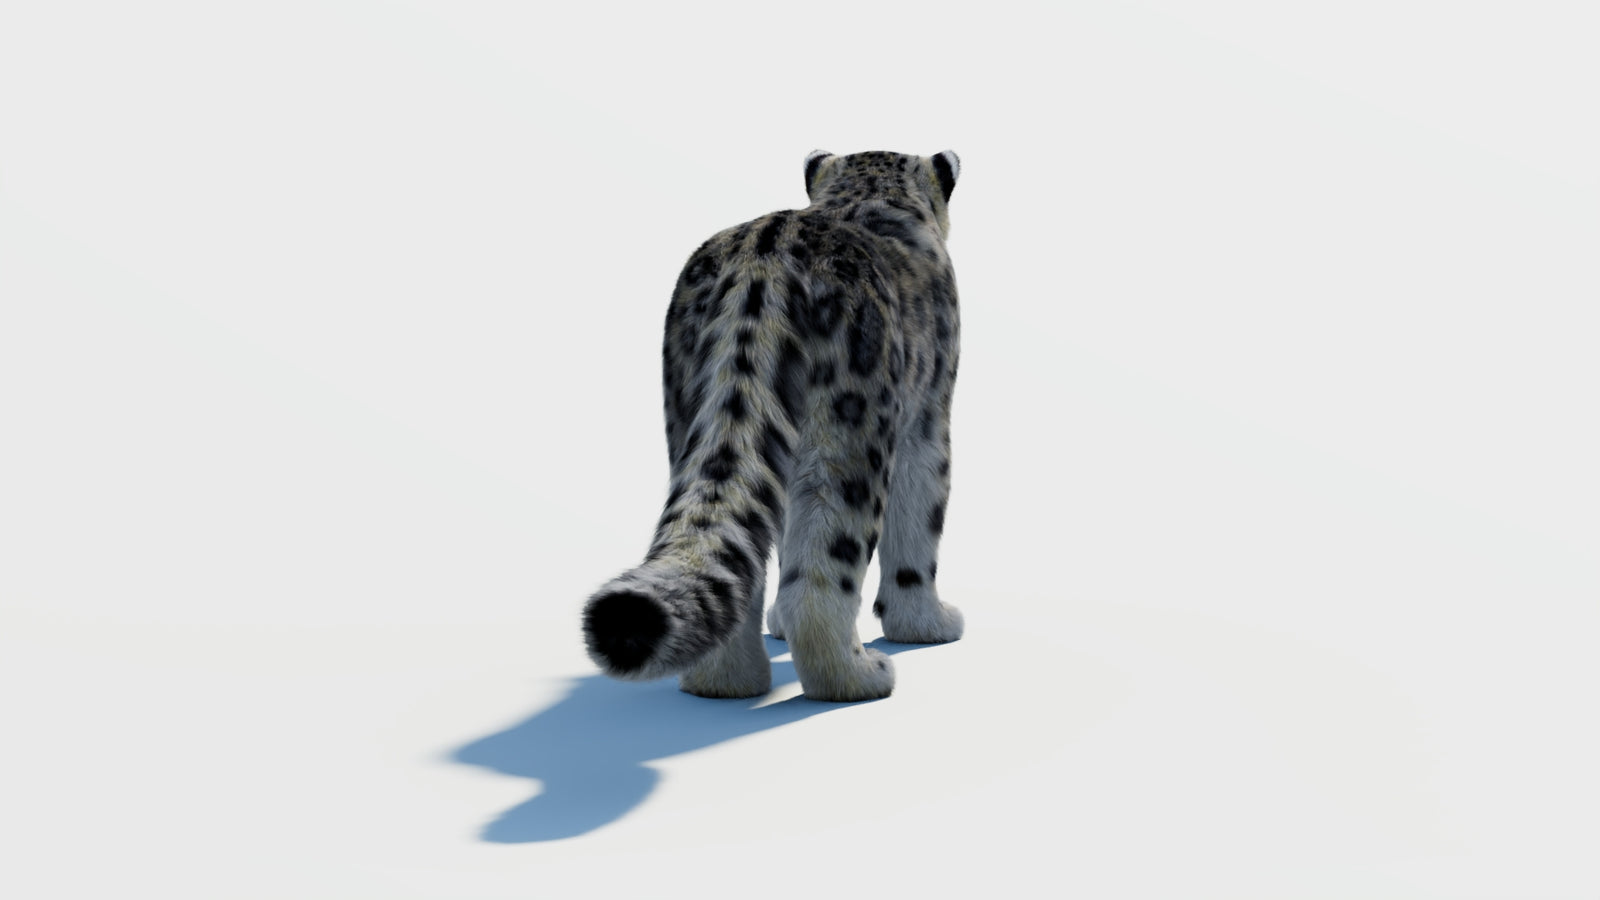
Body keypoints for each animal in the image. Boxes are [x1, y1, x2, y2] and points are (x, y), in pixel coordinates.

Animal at [580, 149, 964, 702]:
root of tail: (759, 268)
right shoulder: (929, 419)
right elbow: (919, 524)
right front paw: (928, 625)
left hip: (690, 418)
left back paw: (724, 683)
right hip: (849, 435)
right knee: (826, 570)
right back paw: (860, 676)